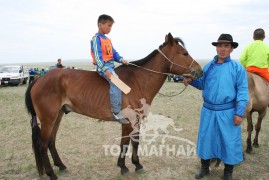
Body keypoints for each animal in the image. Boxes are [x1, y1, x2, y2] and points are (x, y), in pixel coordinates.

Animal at [24, 33, 201, 179]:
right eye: (185, 53)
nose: (200, 71)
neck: (137, 81)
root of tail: (38, 79)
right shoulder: (128, 122)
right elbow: (125, 143)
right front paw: (123, 167)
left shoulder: (137, 121)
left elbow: (135, 141)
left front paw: (137, 164)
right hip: (48, 118)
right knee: (42, 144)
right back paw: (51, 173)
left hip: (57, 116)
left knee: (51, 141)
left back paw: (60, 166)